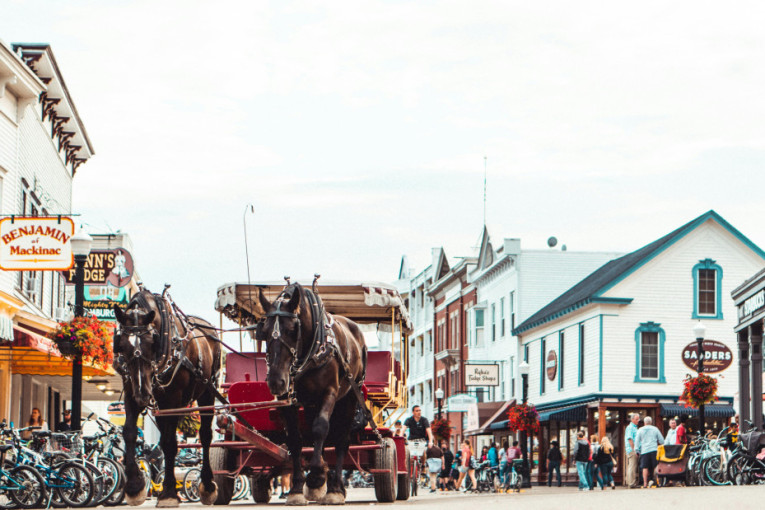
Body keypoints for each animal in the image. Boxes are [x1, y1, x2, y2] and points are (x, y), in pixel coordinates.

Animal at [112, 288, 221, 508]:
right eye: (122, 346)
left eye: (151, 343)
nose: (143, 394)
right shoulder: (131, 391)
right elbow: (129, 432)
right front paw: (134, 487)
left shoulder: (173, 399)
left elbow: (170, 443)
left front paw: (169, 492)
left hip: (207, 392)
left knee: (205, 436)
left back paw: (207, 485)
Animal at [258, 282, 368, 506]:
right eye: (263, 332)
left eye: (293, 329)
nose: (276, 381)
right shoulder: (288, 400)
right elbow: (295, 439)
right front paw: (297, 488)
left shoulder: (329, 392)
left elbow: (320, 429)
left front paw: (316, 476)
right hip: (311, 404)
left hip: (350, 397)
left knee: (340, 439)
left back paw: (335, 488)